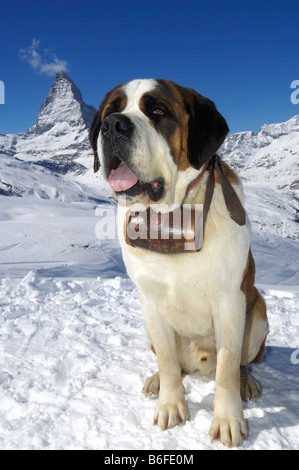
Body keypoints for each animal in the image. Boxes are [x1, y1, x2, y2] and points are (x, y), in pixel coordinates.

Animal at [89, 79, 270, 446]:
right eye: (110, 111)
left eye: (158, 111)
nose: (113, 125)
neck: (171, 219)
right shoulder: (149, 300)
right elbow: (168, 360)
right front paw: (170, 405)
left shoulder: (231, 301)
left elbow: (227, 366)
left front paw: (228, 421)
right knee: (171, 360)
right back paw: (156, 380)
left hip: (258, 312)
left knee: (242, 361)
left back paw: (247, 381)